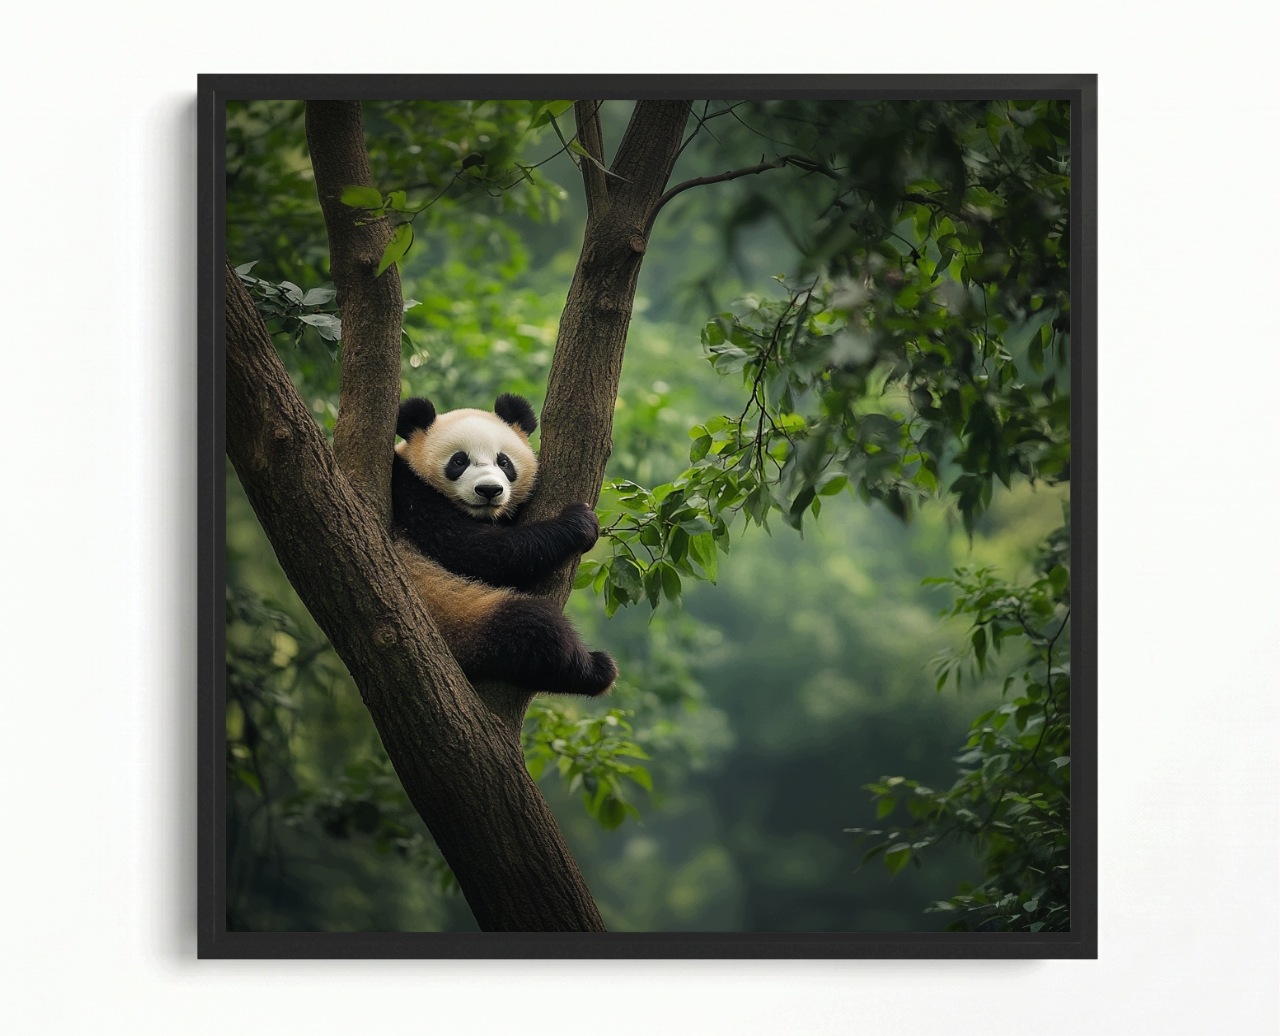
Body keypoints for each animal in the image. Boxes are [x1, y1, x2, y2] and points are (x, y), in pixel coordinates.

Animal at [390, 392, 617, 697]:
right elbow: (479, 552)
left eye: (504, 462)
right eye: (459, 461)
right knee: (535, 628)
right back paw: (597, 670)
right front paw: (578, 523)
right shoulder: (409, 496)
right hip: (462, 619)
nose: (489, 490)